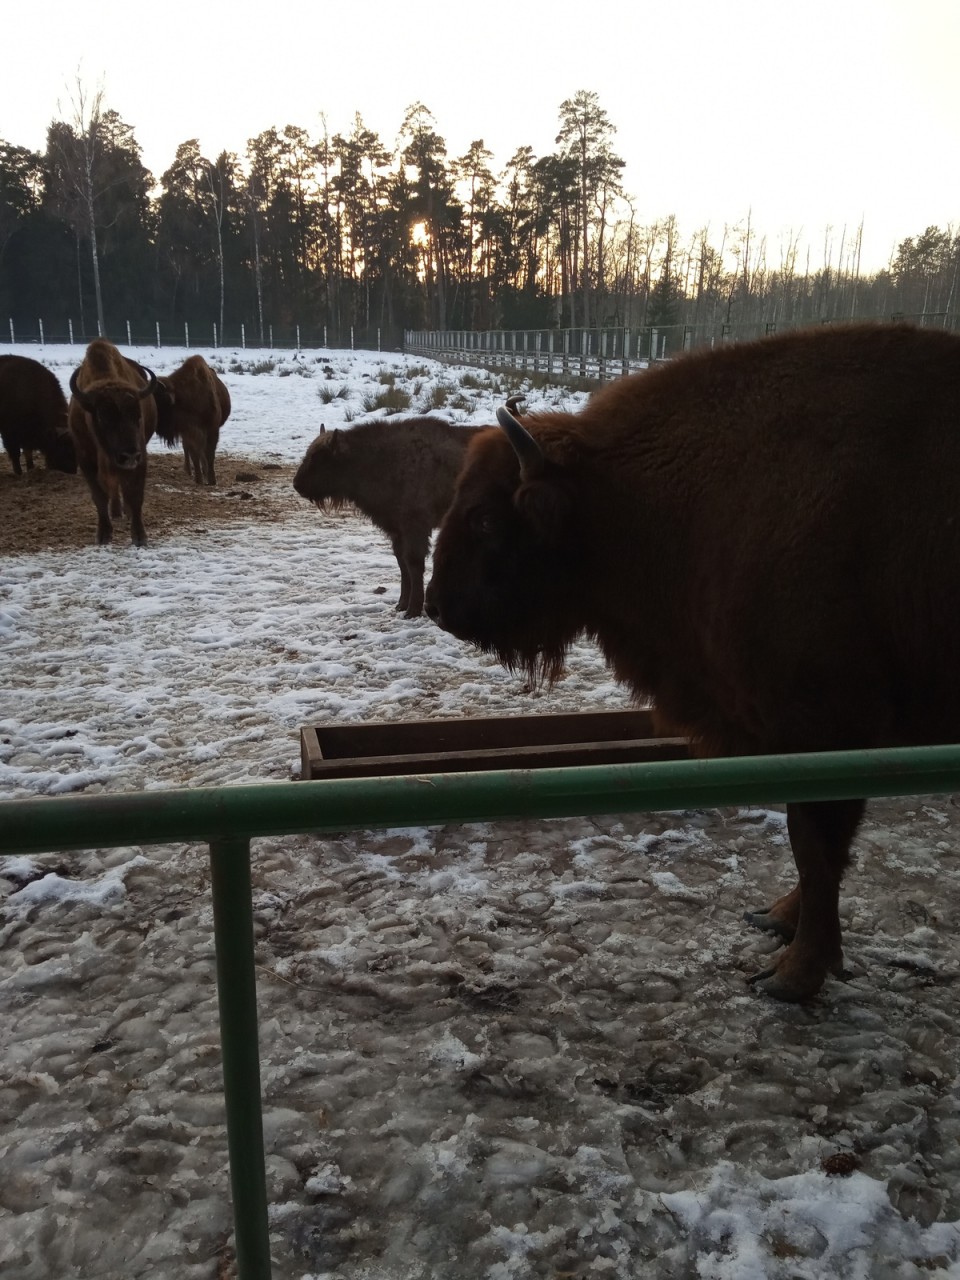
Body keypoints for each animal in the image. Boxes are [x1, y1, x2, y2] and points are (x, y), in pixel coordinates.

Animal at [67, 340, 158, 545]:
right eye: (103, 416)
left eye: (138, 415)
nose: (129, 455)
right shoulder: (85, 461)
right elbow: (99, 497)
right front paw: (103, 535)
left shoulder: (140, 458)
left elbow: (135, 494)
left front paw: (139, 537)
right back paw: (116, 512)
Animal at [158, 355, 235, 483]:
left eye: (159, 401)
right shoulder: (189, 431)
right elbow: (195, 454)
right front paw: (199, 479)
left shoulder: (211, 430)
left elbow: (209, 454)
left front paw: (211, 479)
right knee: (189, 449)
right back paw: (189, 470)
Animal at [293, 417, 488, 616]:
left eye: (319, 457)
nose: (297, 484)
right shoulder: (396, 531)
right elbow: (402, 564)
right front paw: (401, 604)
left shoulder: (415, 528)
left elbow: (414, 564)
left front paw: (413, 609)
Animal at [424, 320, 960, 998]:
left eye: (488, 518)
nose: (437, 604)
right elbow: (811, 847)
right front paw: (780, 920)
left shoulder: (828, 727)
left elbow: (816, 845)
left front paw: (793, 976)